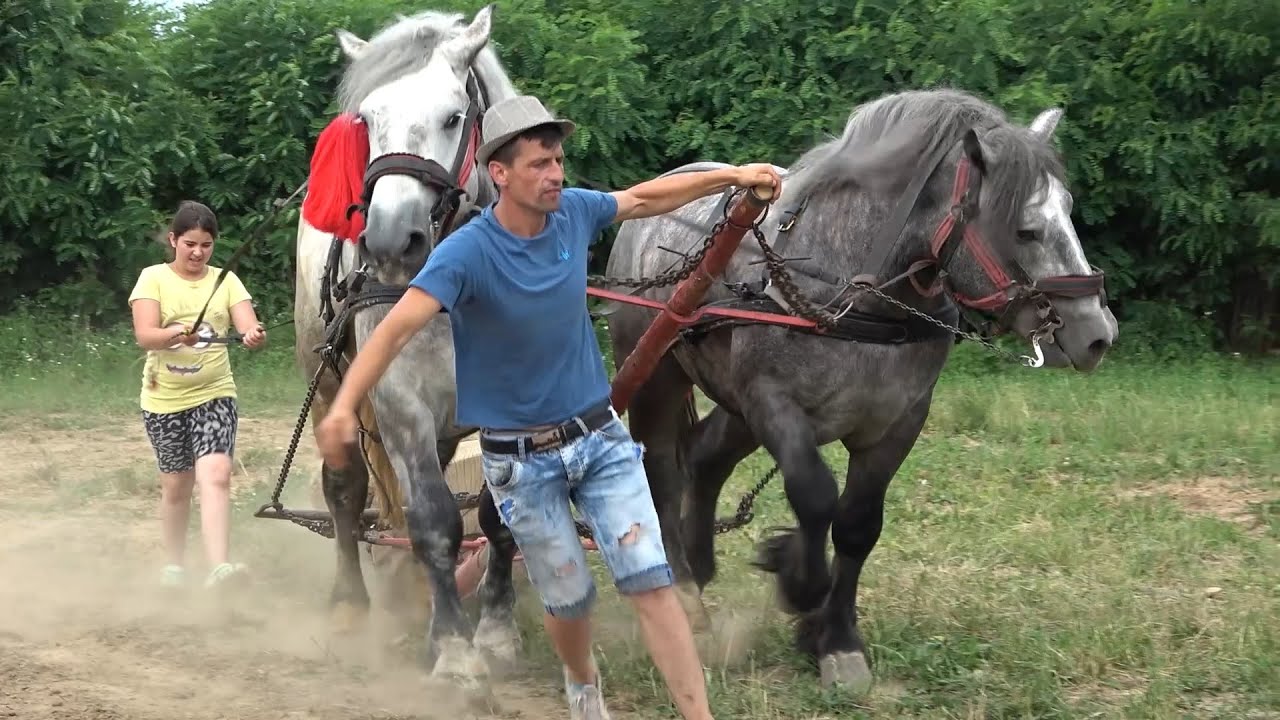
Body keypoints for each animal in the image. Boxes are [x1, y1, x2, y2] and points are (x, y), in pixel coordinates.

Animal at [291, 5, 523, 687]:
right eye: (368, 121)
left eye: (452, 116)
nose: (392, 240)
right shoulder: (398, 402)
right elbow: (432, 518)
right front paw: (454, 650)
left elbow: (498, 515)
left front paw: (495, 632)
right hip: (330, 385)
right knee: (346, 490)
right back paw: (352, 604)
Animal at [603, 88, 1118, 691]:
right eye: (1025, 229)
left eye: (1067, 211)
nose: (1097, 334)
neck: (850, 289)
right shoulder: (773, 402)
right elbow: (814, 494)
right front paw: (800, 582)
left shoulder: (895, 423)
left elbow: (856, 524)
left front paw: (837, 640)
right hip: (657, 375)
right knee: (662, 469)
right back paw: (684, 592)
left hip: (734, 405)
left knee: (704, 457)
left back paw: (702, 565)